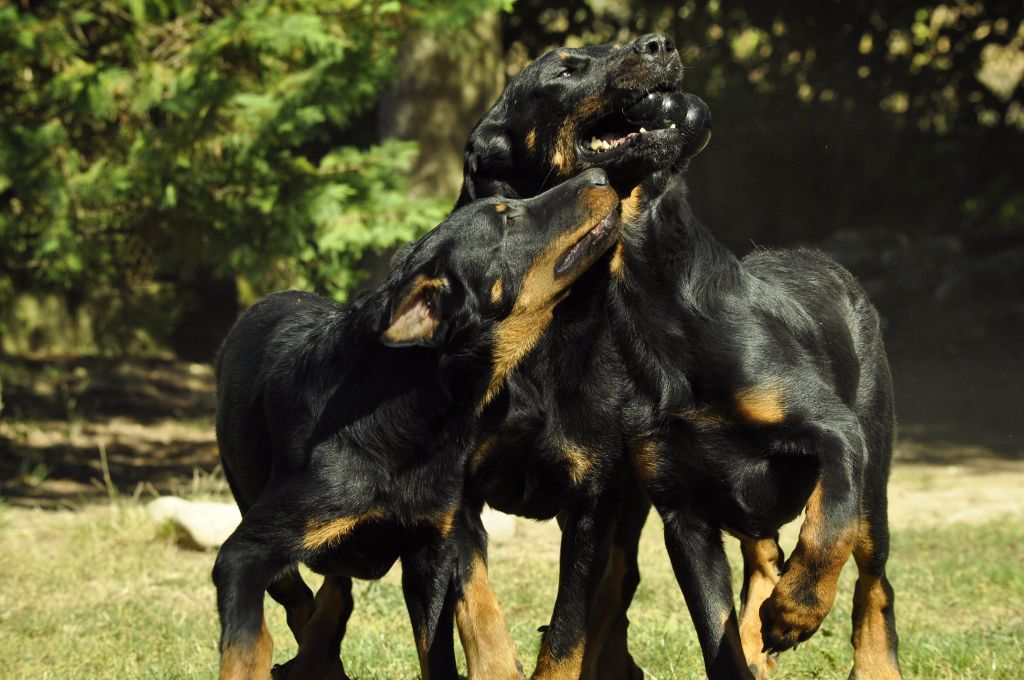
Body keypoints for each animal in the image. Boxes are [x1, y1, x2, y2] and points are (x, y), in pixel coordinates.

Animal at [210, 165, 618, 680]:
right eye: (506, 219)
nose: (601, 174)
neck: (412, 417)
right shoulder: (242, 555)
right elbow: (249, 639)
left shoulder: (431, 553)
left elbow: (437, 651)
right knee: (299, 595)